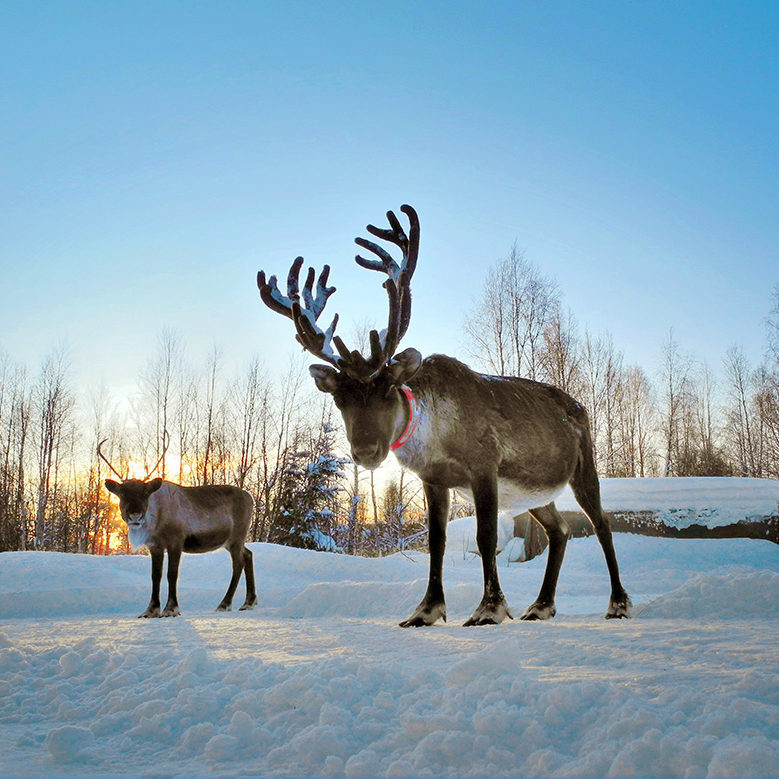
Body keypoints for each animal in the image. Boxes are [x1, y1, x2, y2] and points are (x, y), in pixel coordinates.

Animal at [99, 440, 258, 618]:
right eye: (122, 493)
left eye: (146, 492)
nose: (135, 515)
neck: (157, 517)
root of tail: (251, 497)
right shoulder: (155, 546)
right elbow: (156, 575)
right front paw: (150, 610)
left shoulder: (176, 541)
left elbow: (172, 574)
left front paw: (170, 609)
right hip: (231, 542)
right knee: (248, 555)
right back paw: (248, 602)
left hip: (236, 537)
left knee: (238, 564)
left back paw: (224, 604)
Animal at [257, 204, 631, 627]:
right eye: (339, 398)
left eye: (388, 389)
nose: (367, 451)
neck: (433, 438)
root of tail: (579, 406)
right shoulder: (433, 480)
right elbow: (436, 541)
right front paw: (426, 610)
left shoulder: (484, 467)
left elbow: (486, 537)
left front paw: (489, 608)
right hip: (535, 492)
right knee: (561, 530)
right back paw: (541, 605)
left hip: (584, 466)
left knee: (602, 525)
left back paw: (617, 603)